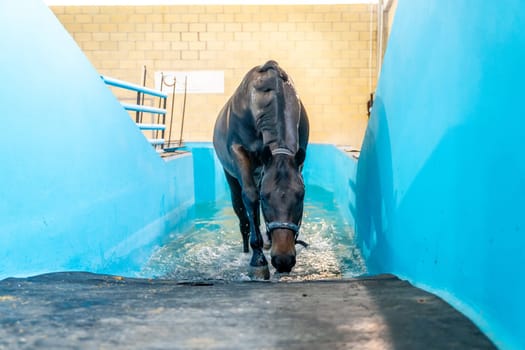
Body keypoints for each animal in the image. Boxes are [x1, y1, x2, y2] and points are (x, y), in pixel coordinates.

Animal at [213, 60, 310, 278]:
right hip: (232, 177)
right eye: (265, 198)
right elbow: (250, 198)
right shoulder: (239, 152)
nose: (283, 259)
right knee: (243, 215)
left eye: (301, 196)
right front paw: (258, 261)